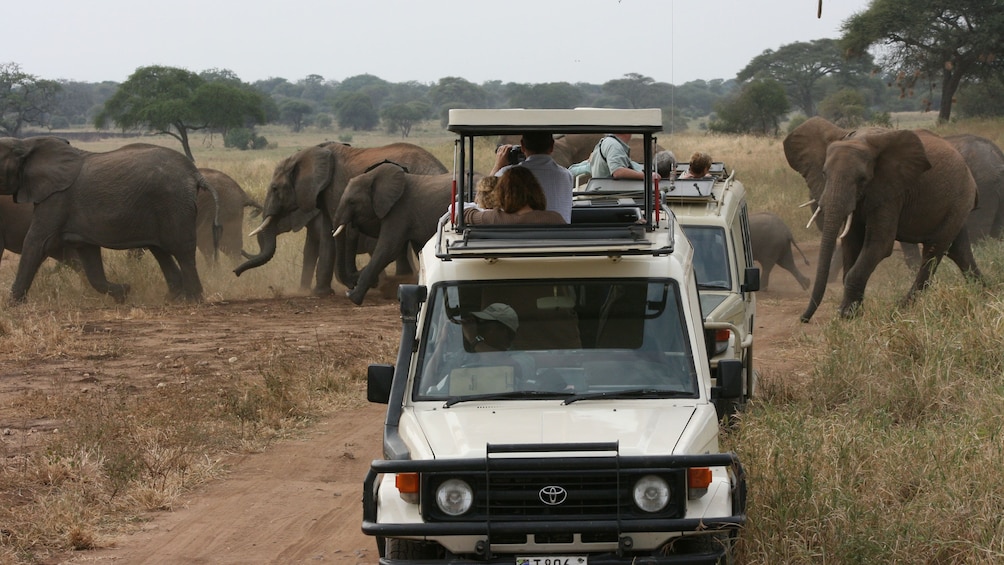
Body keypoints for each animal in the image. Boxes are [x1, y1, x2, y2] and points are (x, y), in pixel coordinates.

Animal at [0, 136, 213, 303]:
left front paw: (12, 305)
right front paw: (124, 293)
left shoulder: (56, 198)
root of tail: (195, 173)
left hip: (174, 203)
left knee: (182, 249)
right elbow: (89, 256)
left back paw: (192, 299)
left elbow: (36, 242)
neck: (25, 144)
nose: (126, 289)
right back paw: (172, 298)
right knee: (160, 251)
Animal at [232, 140, 445, 297]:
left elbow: (340, 233)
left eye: (275, 189)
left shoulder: (336, 190)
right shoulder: (324, 194)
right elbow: (329, 235)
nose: (235, 273)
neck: (308, 154)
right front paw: (322, 293)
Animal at [333, 163, 465, 305]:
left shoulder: (399, 210)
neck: (372, 175)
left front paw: (352, 297)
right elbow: (421, 250)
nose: (352, 225)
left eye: (352, 202)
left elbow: (388, 249)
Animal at [783, 116, 979, 321]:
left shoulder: (891, 190)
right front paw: (853, 312)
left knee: (934, 251)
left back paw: (902, 308)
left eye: (862, 179)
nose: (803, 319)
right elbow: (851, 242)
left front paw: (846, 315)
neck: (858, 138)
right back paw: (983, 290)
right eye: (823, 174)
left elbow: (880, 244)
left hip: (960, 198)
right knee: (958, 250)